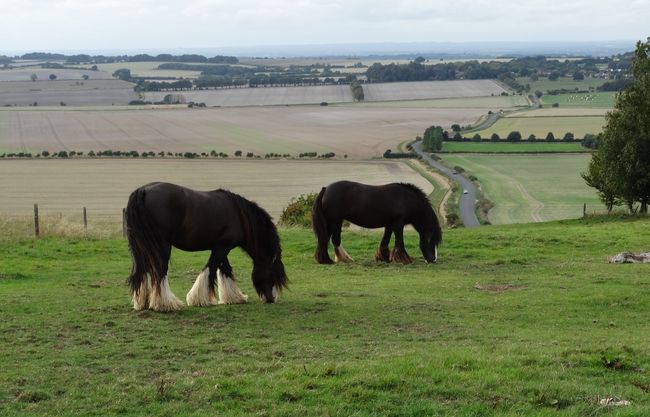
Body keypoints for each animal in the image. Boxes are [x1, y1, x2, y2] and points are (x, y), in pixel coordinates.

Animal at [125, 180, 288, 310]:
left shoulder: (220, 247)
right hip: (161, 246)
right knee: (159, 271)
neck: (240, 215)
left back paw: (142, 302)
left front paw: (234, 298)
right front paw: (199, 299)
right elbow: (211, 268)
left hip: (142, 249)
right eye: (273, 273)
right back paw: (166, 304)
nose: (271, 299)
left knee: (143, 271)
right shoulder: (222, 247)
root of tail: (143, 190)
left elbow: (225, 270)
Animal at [308, 179, 440, 264]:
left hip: (337, 221)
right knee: (327, 239)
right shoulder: (398, 223)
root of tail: (326, 189)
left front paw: (384, 258)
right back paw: (327, 260)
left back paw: (342, 259)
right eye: (431, 240)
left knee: (333, 240)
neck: (406, 200)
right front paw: (405, 260)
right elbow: (400, 242)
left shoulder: (390, 224)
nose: (433, 259)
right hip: (333, 221)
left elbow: (385, 240)